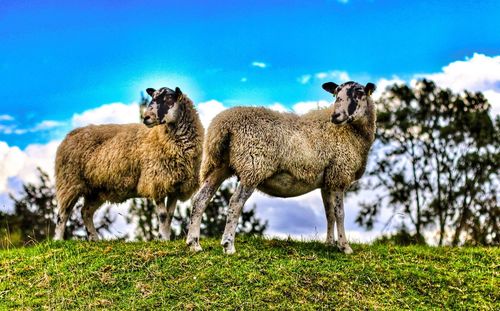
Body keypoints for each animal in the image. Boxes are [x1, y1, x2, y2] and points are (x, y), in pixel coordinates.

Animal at [52, 86, 203, 243]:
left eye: (168, 99)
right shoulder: (154, 181)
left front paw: (166, 238)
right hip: (69, 182)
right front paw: (162, 239)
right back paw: (58, 240)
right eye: (152, 98)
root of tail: (70, 135)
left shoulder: (175, 186)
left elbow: (170, 215)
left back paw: (94, 238)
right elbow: (162, 215)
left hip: (95, 189)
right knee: (62, 214)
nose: (146, 117)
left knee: (85, 212)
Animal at [187, 81, 376, 256]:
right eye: (336, 93)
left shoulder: (328, 180)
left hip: (218, 165)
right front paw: (345, 247)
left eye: (359, 92)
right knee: (235, 202)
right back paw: (228, 245)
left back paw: (194, 244)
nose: (336, 115)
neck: (351, 132)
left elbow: (329, 213)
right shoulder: (339, 174)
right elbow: (340, 214)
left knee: (200, 199)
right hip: (253, 166)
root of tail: (223, 125)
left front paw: (329, 244)